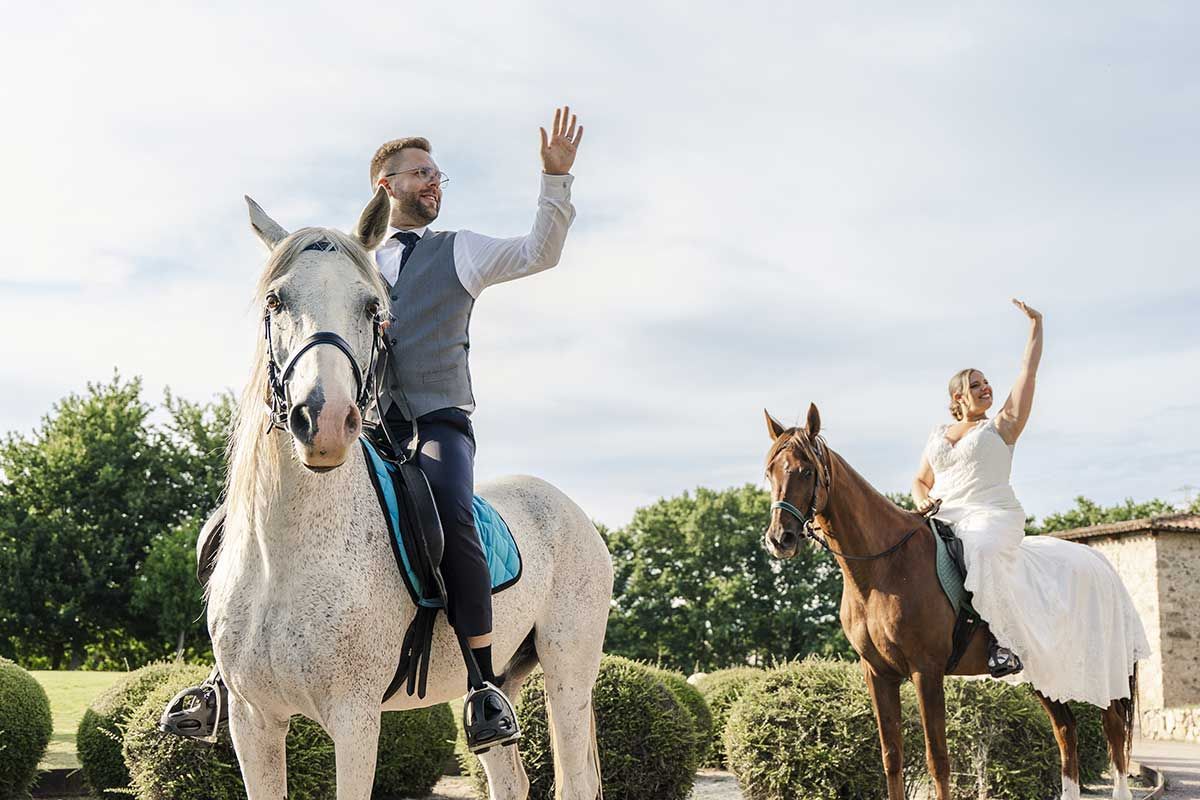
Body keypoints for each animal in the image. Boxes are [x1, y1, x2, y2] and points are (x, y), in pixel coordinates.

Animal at [205, 187, 613, 800]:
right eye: (275, 301)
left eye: (372, 309)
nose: (323, 422)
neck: (285, 555)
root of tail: (572, 510)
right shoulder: (253, 720)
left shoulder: (354, 719)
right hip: (498, 679)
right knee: (509, 775)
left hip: (569, 671)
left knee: (577, 777)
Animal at [762, 404, 1137, 800]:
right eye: (770, 471)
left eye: (806, 470)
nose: (780, 539)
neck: (884, 566)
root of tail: (1099, 563)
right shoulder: (878, 674)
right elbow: (891, 757)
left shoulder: (926, 671)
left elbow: (937, 760)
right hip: (1046, 670)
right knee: (1066, 730)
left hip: (1099, 669)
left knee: (1113, 731)